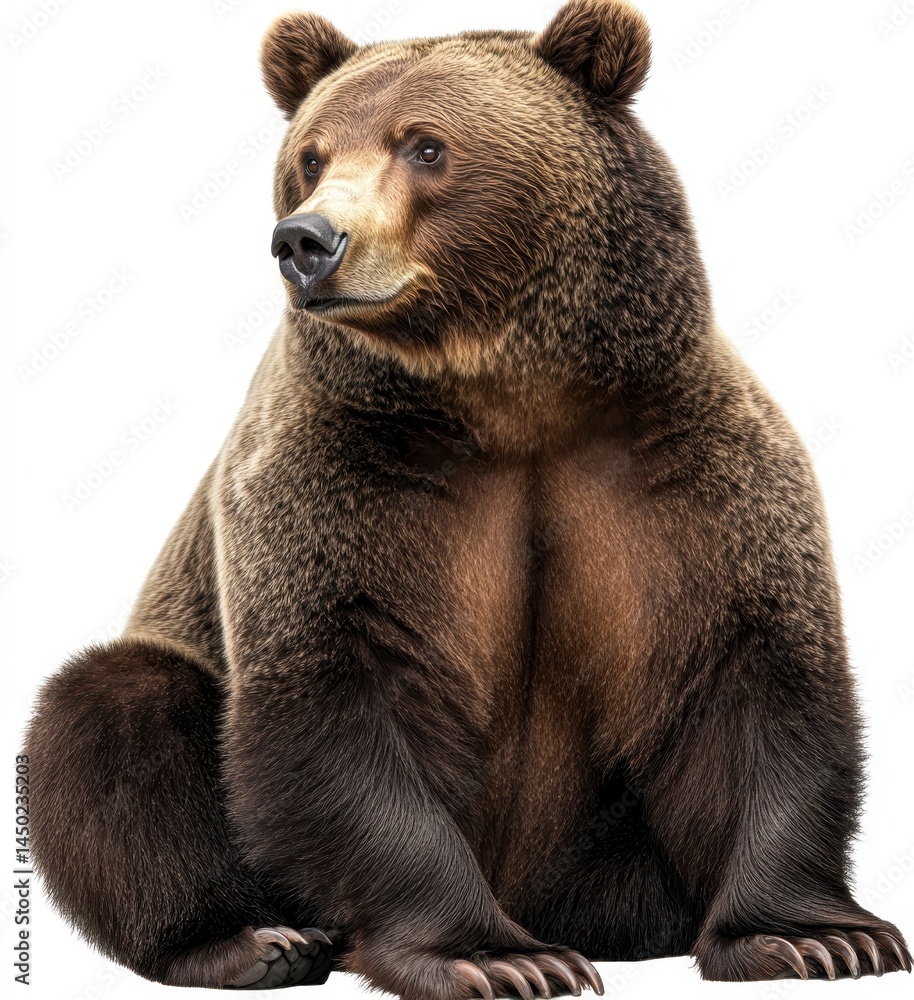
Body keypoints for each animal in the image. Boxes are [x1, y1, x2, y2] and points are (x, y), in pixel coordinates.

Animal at [24, 0, 912, 996]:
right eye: (312, 156)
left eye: (425, 146)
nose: (306, 241)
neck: (508, 396)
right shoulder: (343, 475)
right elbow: (341, 698)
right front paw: (498, 957)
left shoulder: (678, 466)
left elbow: (747, 674)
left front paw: (818, 938)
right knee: (115, 710)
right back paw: (252, 941)